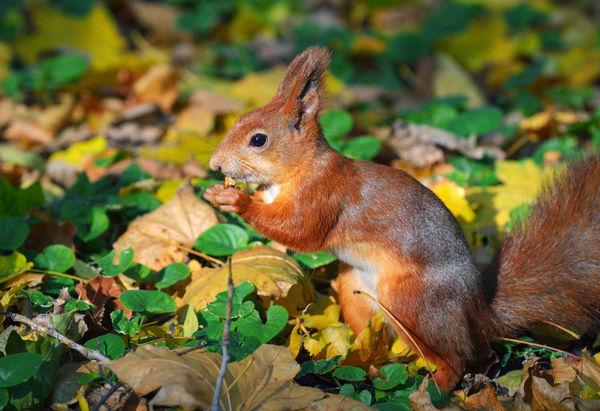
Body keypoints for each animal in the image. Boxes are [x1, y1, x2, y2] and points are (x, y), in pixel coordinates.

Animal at [204, 46, 600, 392]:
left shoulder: (324, 195)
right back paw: (367, 365)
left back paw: (434, 387)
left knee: (459, 358)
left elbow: (300, 232)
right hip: (355, 288)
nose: (215, 165)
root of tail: (477, 313)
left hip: (412, 301)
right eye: (237, 123)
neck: (298, 169)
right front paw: (219, 194)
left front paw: (236, 200)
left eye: (258, 139)